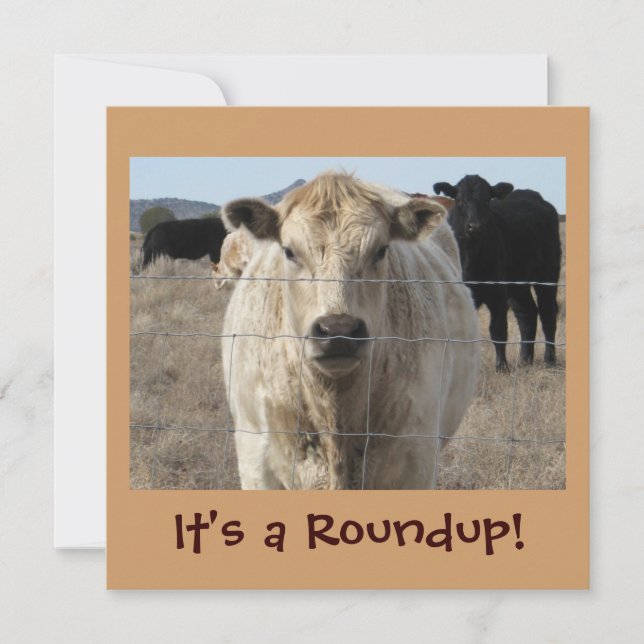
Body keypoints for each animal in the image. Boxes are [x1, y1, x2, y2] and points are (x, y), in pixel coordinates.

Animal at [433, 175, 561, 370]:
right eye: (460, 200)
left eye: (487, 200)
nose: (474, 226)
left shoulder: (498, 293)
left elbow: (498, 330)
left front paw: (502, 367)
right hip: (518, 284)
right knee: (527, 313)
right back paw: (525, 359)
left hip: (547, 275)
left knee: (548, 312)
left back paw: (550, 360)